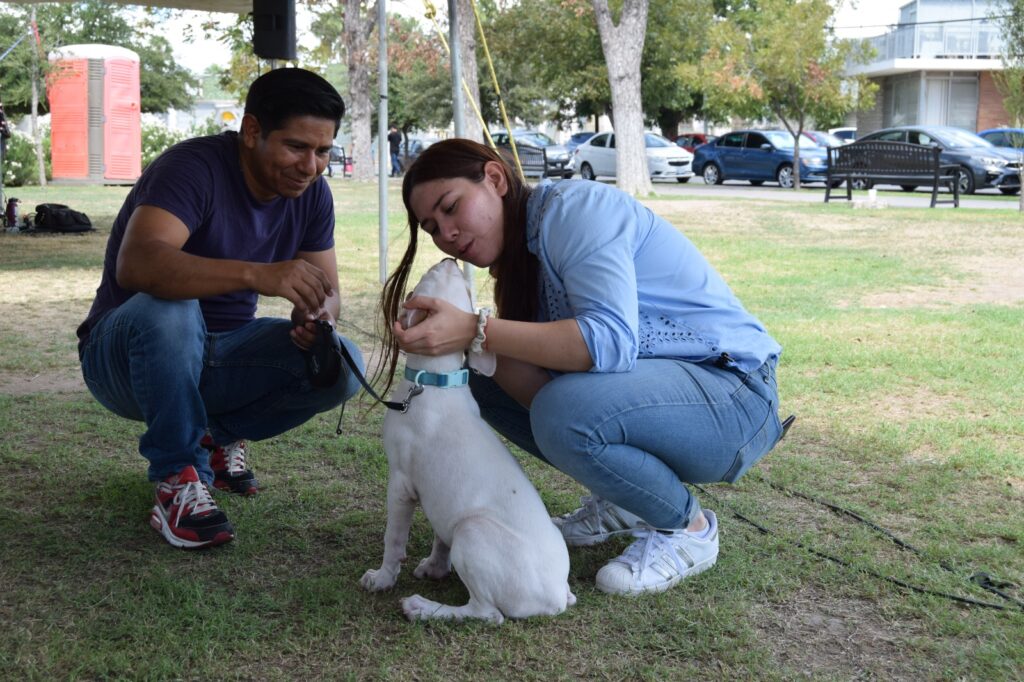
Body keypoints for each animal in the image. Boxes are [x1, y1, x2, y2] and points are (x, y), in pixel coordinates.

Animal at [358, 256, 577, 622]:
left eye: (424, 278)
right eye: (465, 287)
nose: (448, 259)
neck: (436, 380)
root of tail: (556, 597)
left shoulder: (400, 483)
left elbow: (394, 539)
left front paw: (382, 578)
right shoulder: (440, 503)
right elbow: (439, 536)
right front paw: (435, 567)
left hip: (471, 531)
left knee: (487, 613)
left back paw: (422, 607)